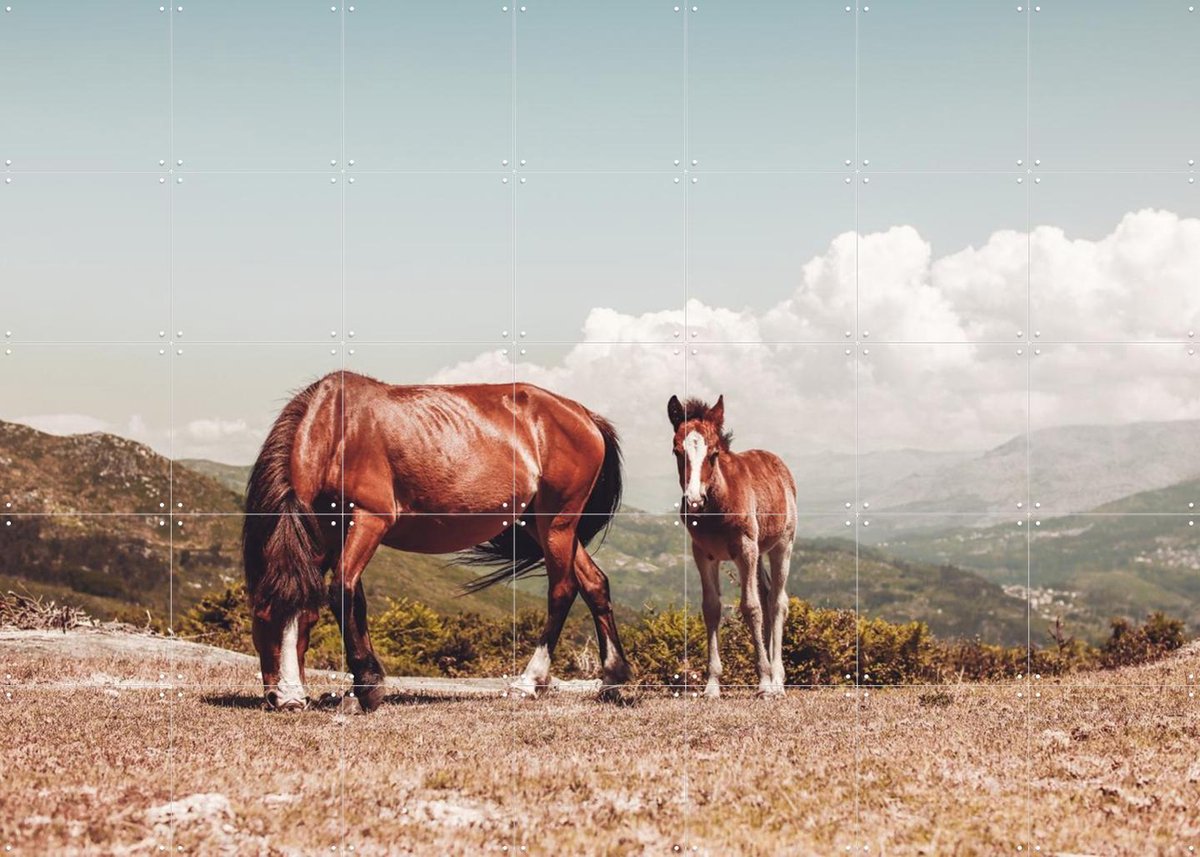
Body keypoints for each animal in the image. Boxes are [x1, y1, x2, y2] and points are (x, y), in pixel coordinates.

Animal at [242, 371, 632, 712]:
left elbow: (341, 589)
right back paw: (614, 679)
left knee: (562, 590)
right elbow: (355, 599)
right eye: (261, 618)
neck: (338, 430)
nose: (288, 700)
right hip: (542, 524)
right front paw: (361, 686)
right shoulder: (331, 532)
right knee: (594, 583)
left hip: (556, 524)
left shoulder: (370, 520)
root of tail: (584, 415)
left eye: (306, 622)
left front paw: (367, 688)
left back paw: (529, 682)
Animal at [667, 394, 797, 698]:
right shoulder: (703, 554)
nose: (694, 500)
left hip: (782, 545)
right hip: (758, 552)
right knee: (767, 594)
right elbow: (712, 608)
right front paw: (712, 685)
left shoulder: (745, 549)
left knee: (777, 602)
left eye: (714, 453)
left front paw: (764, 683)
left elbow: (751, 607)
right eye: (677, 452)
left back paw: (777, 680)